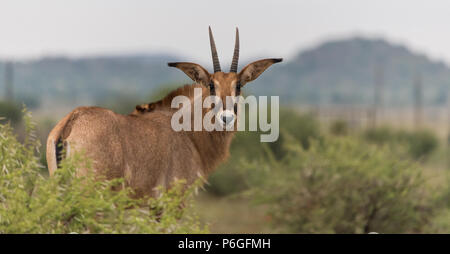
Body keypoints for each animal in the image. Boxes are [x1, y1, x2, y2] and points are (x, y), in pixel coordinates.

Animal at [48, 28, 282, 198]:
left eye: (239, 86)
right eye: (211, 85)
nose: (226, 117)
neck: (188, 131)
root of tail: (72, 121)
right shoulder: (172, 199)